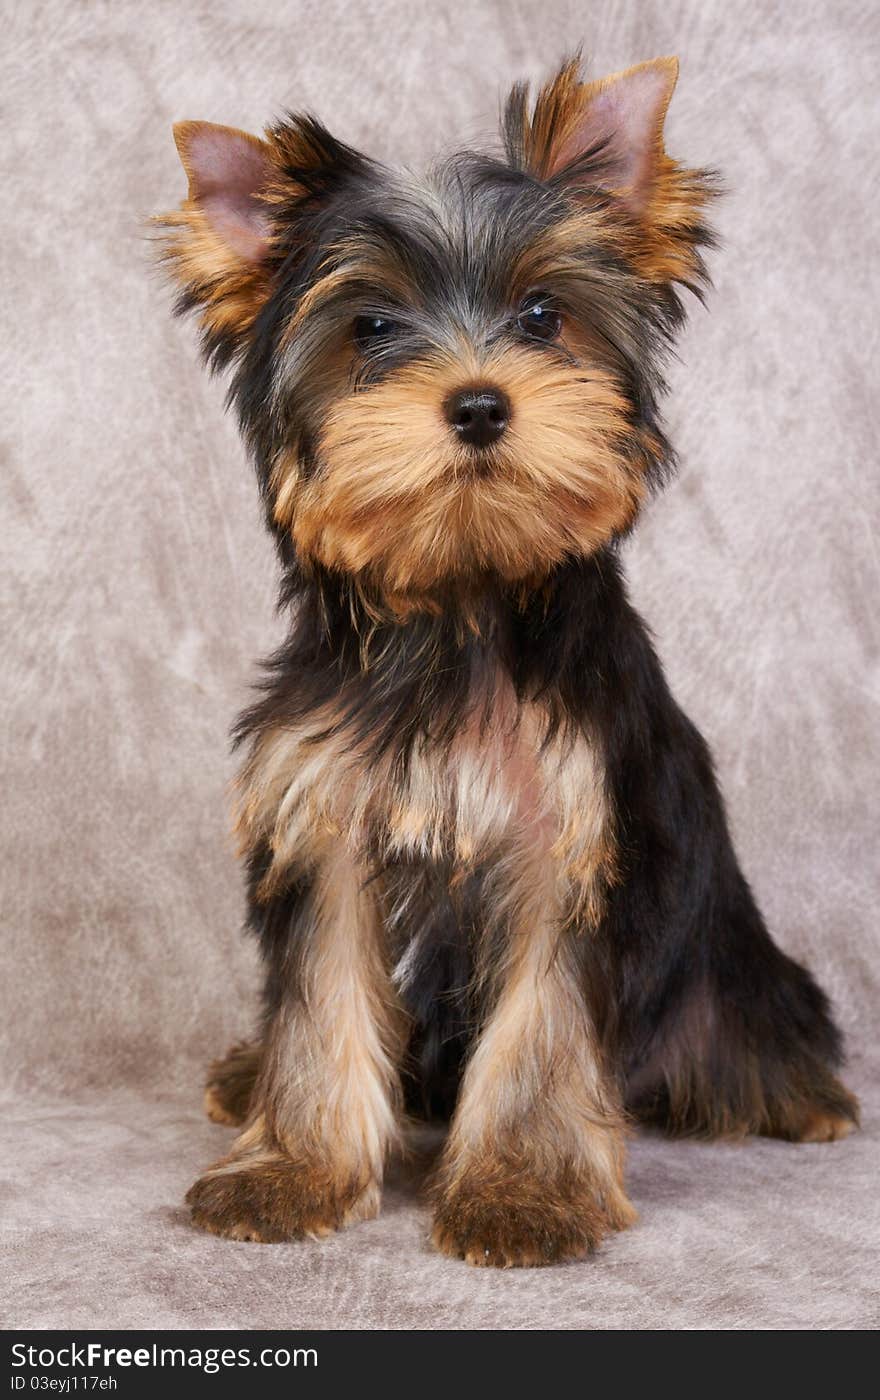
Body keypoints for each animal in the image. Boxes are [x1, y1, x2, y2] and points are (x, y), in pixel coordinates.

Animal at [155, 54, 856, 1265]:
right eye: (371, 326)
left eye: (542, 314)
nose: (480, 403)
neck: (459, 601)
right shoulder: (324, 816)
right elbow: (321, 996)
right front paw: (293, 1168)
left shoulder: (567, 836)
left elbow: (541, 1023)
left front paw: (521, 1193)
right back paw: (247, 1077)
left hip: (726, 959)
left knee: (746, 1023)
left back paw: (796, 1094)